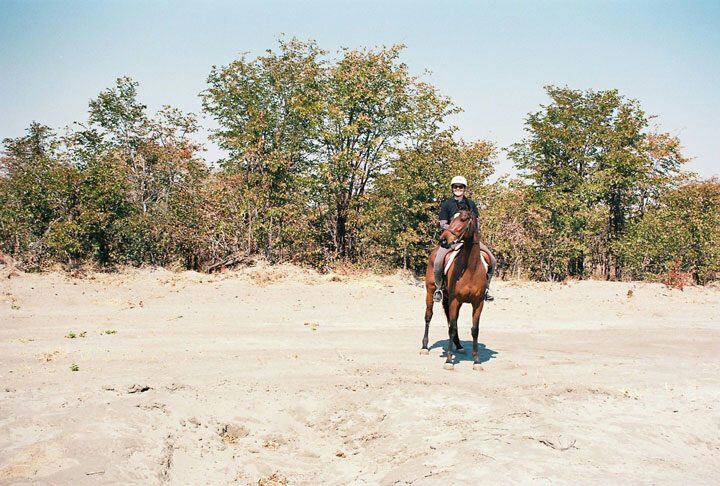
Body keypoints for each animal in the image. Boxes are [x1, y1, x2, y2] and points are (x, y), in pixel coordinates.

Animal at [422, 207, 490, 370]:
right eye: (451, 220)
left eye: (463, 219)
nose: (443, 240)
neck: (471, 269)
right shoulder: (455, 300)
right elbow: (452, 327)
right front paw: (448, 361)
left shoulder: (478, 303)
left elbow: (474, 329)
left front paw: (477, 361)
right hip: (430, 292)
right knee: (429, 316)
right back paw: (424, 347)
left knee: (452, 321)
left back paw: (458, 346)